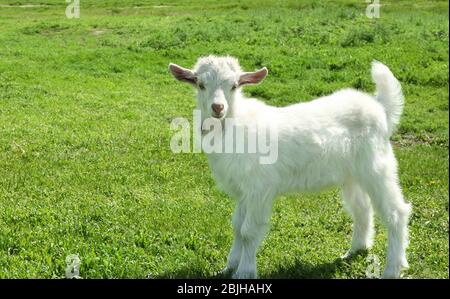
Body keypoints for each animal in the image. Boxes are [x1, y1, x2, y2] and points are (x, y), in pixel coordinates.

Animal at [168, 55, 412, 278]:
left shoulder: (260, 189)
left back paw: (392, 268)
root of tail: (379, 106)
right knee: (361, 209)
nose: (218, 107)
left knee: (396, 212)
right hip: (351, 175)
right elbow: (237, 227)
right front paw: (229, 267)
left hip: (377, 166)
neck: (235, 125)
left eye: (234, 85)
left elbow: (248, 231)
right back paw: (355, 250)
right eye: (200, 84)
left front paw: (244, 272)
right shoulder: (243, 191)